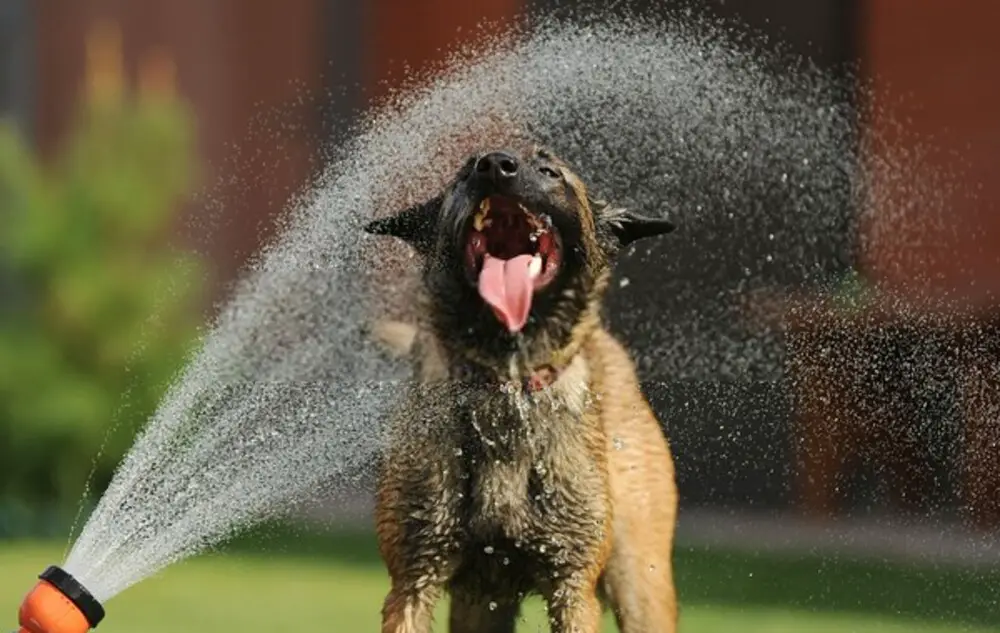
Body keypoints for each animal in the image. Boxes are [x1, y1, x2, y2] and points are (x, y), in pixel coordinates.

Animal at [362, 146, 680, 628]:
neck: (505, 383)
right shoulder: (414, 579)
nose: (495, 164)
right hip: (480, 604)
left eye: (550, 171)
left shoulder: (573, 586)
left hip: (640, 580)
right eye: (464, 172)